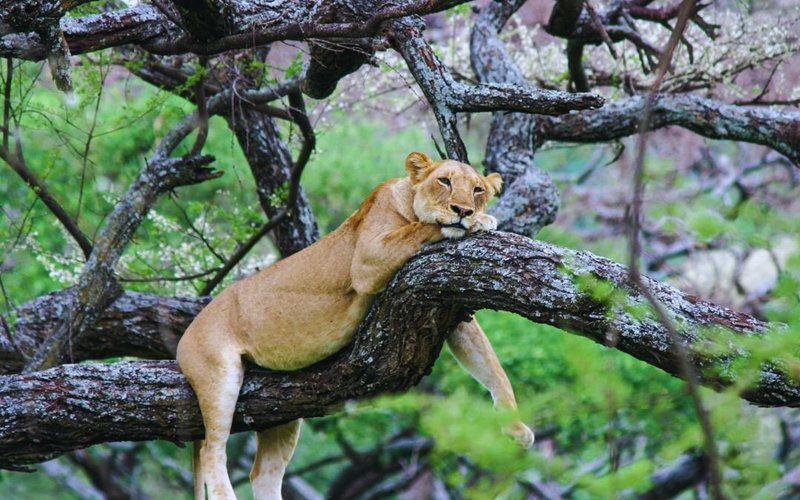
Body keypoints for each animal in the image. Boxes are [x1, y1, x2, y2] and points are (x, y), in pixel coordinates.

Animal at [176, 151, 534, 499]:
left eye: (478, 190)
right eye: (444, 181)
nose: (463, 210)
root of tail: (186, 334)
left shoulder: (449, 307)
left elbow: (492, 367)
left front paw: (515, 428)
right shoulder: (368, 259)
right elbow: (422, 228)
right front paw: (477, 221)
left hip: (280, 414)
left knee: (263, 474)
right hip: (218, 378)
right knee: (212, 450)